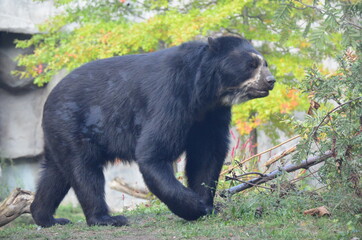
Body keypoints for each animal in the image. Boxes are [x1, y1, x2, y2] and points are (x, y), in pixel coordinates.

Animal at [30, 35, 274, 227]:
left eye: (265, 63)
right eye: (251, 64)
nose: (271, 80)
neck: (206, 92)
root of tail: (49, 99)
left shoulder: (210, 115)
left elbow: (207, 155)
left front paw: (208, 205)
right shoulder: (171, 97)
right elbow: (154, 152)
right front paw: (195, 207)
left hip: (59, 134)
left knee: (56, 173)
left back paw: (47, 217)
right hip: (74, 124)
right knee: (84, 171)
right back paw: (106, 218)